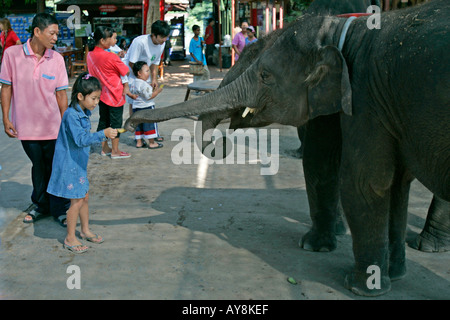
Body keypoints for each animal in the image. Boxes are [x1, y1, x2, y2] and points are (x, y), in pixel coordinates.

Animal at [124, 0, 450, 296]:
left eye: (265, 75)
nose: (129, 121)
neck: (344, 30)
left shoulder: (365, 98)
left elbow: (360, 179)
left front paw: (355, 281)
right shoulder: (378, 105)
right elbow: (394, 183)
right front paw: (393, 274)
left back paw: (425, 247)